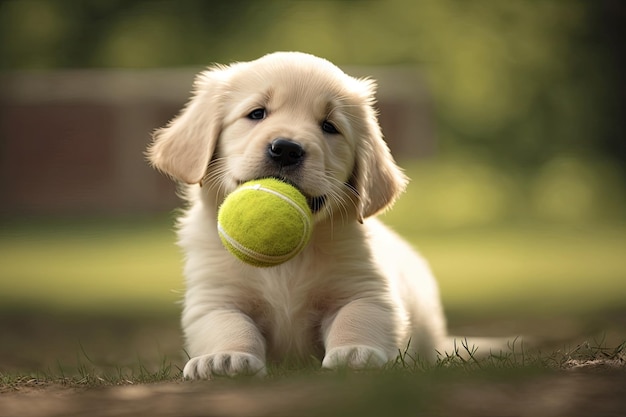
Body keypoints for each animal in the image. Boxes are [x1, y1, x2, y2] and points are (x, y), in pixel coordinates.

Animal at [149, 51, 456, 376]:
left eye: (329, 126)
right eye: (257, 113)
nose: (286, 149)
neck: (286, 263)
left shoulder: (366, 288)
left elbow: (356, 317)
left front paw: (355, 353)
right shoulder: (215, 297)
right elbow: (229, 325)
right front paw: (225, 358)